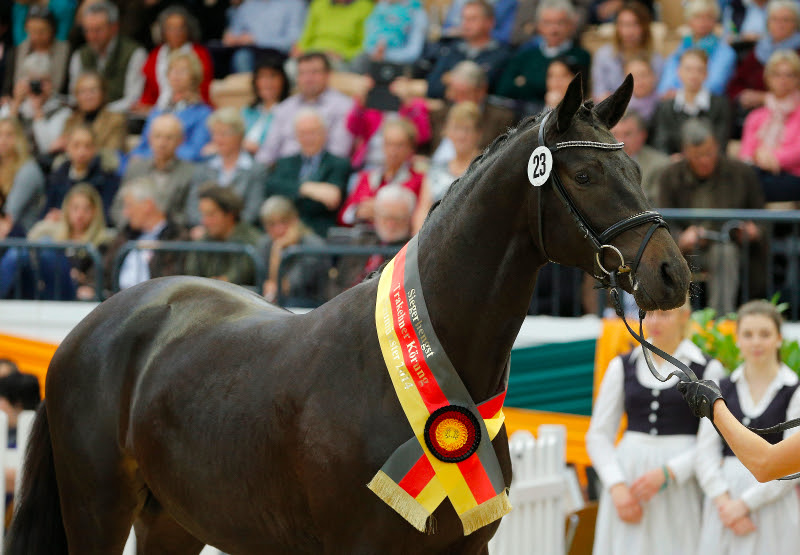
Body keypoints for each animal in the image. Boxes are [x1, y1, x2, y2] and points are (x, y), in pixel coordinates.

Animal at [7, 75, 688, 555]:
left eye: (635, 167)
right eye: (586, 173)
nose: (672, 274)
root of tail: (88, 330)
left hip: (172, 521)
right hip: (97, 512)